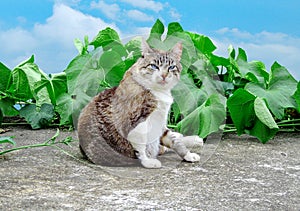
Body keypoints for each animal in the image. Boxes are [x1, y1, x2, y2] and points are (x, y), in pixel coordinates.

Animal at [78, 40, 203, 168]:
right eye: (154, 66)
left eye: (171, 67)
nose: (164, 75)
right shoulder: (136, 121)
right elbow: (141, 144)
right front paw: (147, 161)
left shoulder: (159, 120)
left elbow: (173, 141)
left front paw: (188, 154)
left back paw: (193, 139)